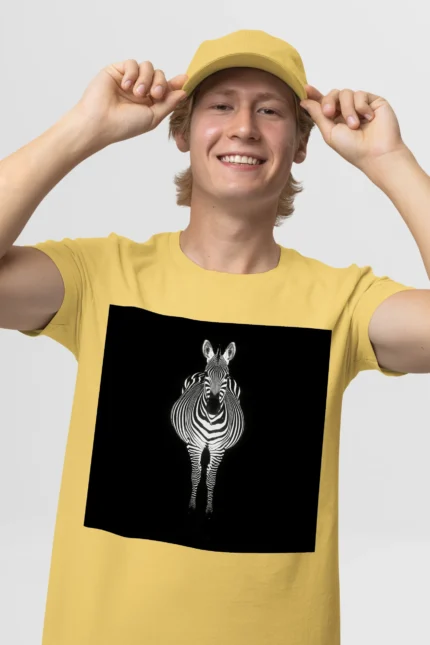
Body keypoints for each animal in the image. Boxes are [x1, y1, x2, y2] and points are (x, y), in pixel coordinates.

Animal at [170, 339, 245, 515]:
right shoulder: (195, 445)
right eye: (207, 375)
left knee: (209, 469)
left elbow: (211, 478)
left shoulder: (218, 449)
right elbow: (196, 475)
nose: (212, 408)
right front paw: (192, 505)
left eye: (226, 376)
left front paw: (209, 508)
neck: (211, 420)